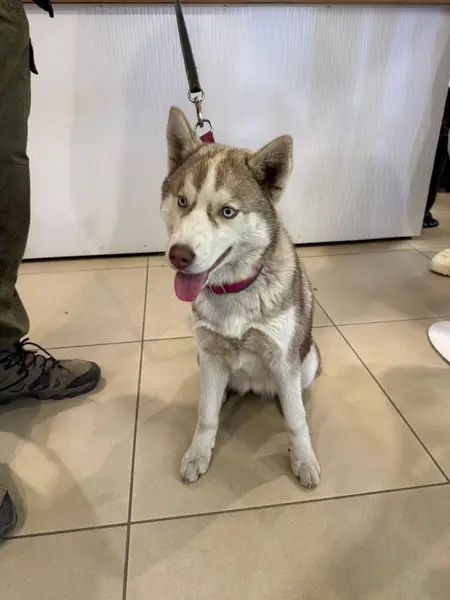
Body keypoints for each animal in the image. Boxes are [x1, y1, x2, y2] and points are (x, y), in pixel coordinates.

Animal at [160, 107, 321, 488]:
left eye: (227, 211)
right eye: (182, 201)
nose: (178, 255)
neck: (236, 290)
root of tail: (254, 387)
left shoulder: (285, 360)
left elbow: (297, 421)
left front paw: (303, 459)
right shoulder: (210, 355)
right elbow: (205, 415)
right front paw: (198, 453)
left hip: (308, 361)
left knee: (292, 395)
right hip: (203, 360)